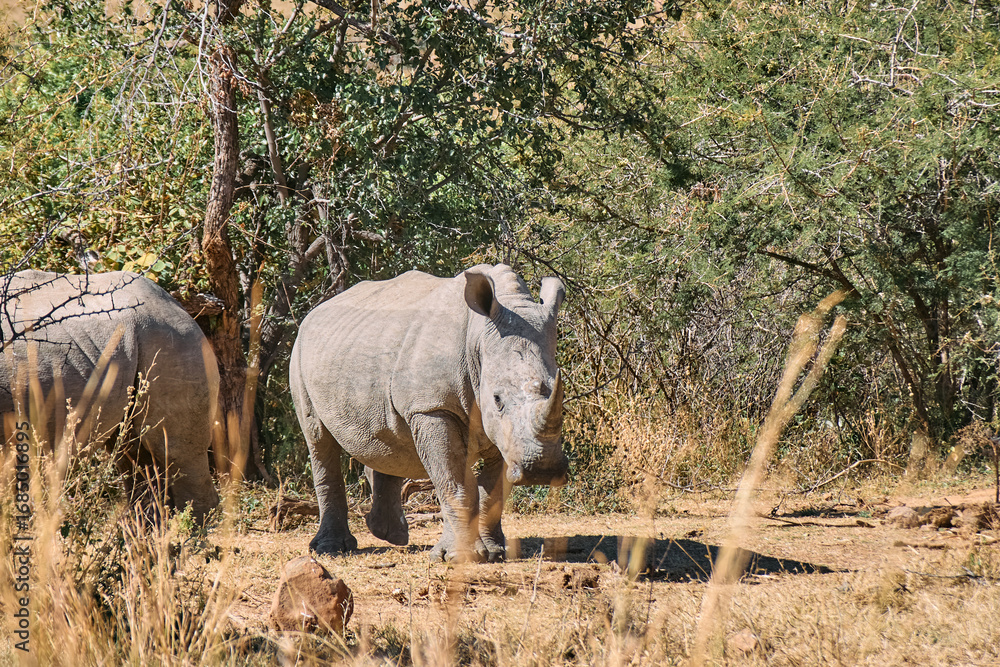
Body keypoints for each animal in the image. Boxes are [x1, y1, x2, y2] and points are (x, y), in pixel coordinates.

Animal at [290, 264, 568, 562]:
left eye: (559, 394)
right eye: (497, 399)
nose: (542, 469)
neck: (479, 337)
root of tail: (315, 312)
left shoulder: (505, 432)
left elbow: (491, 490)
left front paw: (493, 552)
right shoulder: (432, 407)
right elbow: (453, 479)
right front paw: (462, 557)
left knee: (386, 437)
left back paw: (391, 535)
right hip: (301, 352)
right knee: (318, 438)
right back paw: (331, 550)